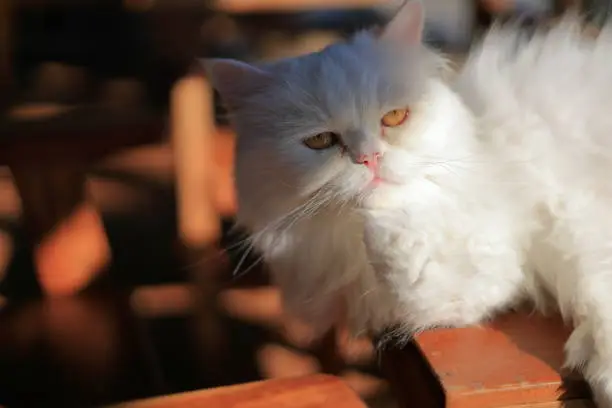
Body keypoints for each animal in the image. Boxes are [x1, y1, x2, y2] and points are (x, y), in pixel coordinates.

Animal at [207, 1, 612, 404]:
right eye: (320, 141)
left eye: (394, 117)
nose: (368, 158)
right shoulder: (481, 279)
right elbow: (423, 281)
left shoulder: (567, 218)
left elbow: (598, 293)